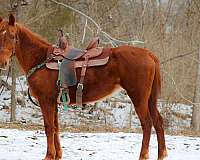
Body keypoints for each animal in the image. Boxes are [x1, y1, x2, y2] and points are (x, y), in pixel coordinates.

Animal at [0, 14, 167, 160]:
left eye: (12, 35)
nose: (2, 62)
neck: (40, 58)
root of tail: (149, 54)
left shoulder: (45, 100)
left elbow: (48, 127)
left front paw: (49, 156)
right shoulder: (54, 102)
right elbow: (56, 127)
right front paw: (58, 155)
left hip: (138, 98)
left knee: (147, 124)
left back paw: (143, 155)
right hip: (150, 100)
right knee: (158, 121)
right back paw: (162, 155)